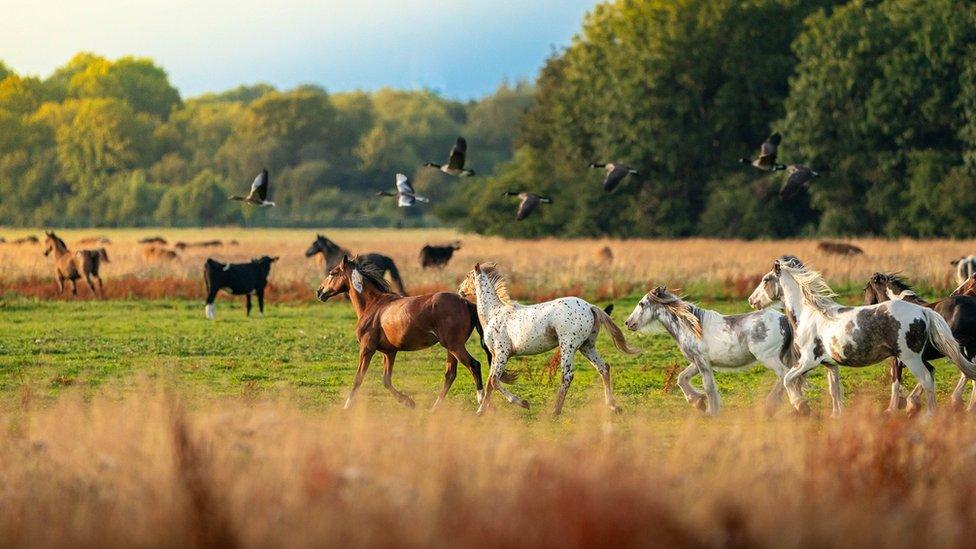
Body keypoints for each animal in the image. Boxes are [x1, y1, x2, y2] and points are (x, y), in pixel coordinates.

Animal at [316, 255, 510, 408]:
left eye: (332, 272)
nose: (319, 292)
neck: (373, 306)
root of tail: (467, 303)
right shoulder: (389, 352)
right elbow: (386, 380)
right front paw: (409, 402)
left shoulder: (367, 348)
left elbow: (358, 378)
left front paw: (347, 406)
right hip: (452, 348)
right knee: (450, 374)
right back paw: (435, 408)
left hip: (455, 346)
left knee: (474, 365)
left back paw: (482, 402)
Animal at [458, 264, 640, 414]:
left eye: (468, 275)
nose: (460, 290)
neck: (494, 313)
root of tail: (590, 306)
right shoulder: (496, 355)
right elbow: (490, 383)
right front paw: (481, 411)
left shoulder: (502, 353)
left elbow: (495, 381)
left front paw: (524, 403)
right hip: (587, 346)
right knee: (603, 368)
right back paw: (614, 406)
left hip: (568, 346)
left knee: (567, 375)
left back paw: (555, 411)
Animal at [624, 286, 816, 416]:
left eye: (642, 304)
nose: (628, 323)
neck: (691, 326)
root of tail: (783, 319)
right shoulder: (698, 362)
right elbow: (682, 379)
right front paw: (698, 402)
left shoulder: (701, 361)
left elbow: (708, 386)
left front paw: (711, 410)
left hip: (769, 357)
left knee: (785, 375)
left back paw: (777, 405)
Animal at [748, 260, 976, 414]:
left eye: (766, 280)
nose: (752, 300)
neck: (810, 315)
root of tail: (923, 311)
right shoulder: (830, 364)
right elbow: (834, 390)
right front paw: (836, 416)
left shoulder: (807, 361)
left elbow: (788, 379)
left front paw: (801, 406)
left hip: (911, 358)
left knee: (928, 379)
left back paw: (929, 414)